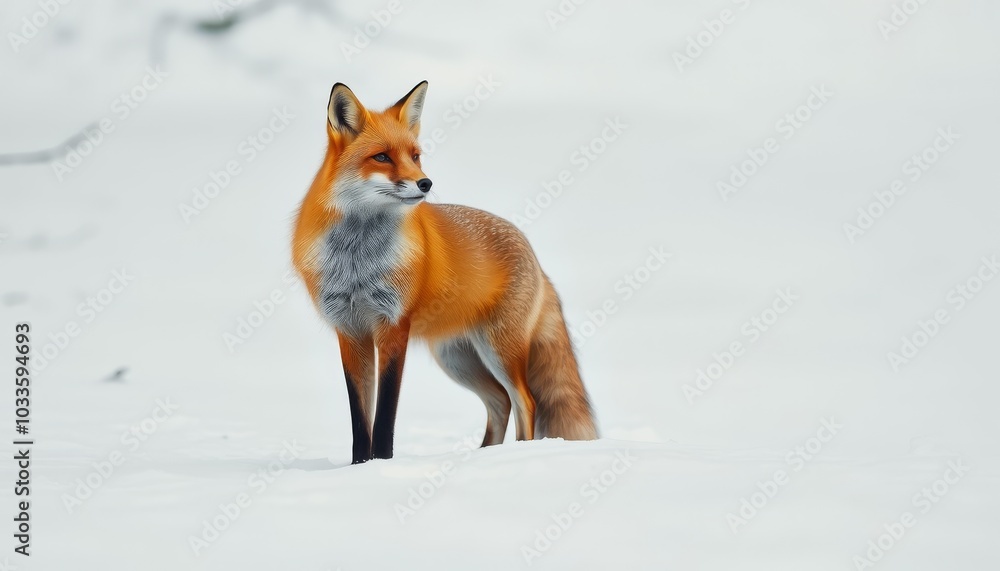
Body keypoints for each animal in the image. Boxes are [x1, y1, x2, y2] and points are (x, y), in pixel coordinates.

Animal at [292, 80, 597, 464]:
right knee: (499, 401)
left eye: (415, 156)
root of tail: (535, 257)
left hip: (499, 348)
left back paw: (515, 457)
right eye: (382, 157)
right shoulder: (350, 331)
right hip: (456, 358)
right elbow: (361, 419)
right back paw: (482, 457)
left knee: (525, 401)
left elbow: (385, 415)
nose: (425, 183)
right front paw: (359, 467)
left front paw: (382, 465)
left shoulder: (393, 327)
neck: (358, 259)